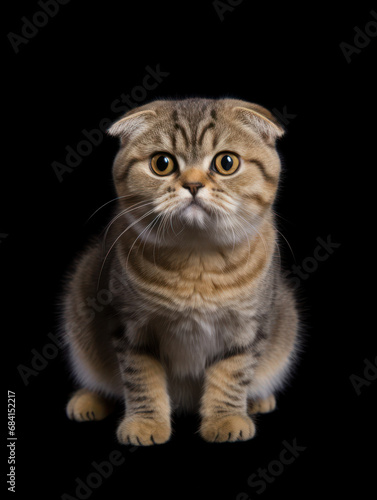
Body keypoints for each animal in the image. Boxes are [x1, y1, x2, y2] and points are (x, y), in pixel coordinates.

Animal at [60, 97, 298, 446]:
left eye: (226, 163)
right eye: (162, 164)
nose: (193, 184)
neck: (196, 262)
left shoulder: (248, 326)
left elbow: (233, 374)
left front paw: (225, 419)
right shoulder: (130, 326)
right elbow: (141, 379)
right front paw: (145, 423)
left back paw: (257, 400)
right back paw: (88, 399)